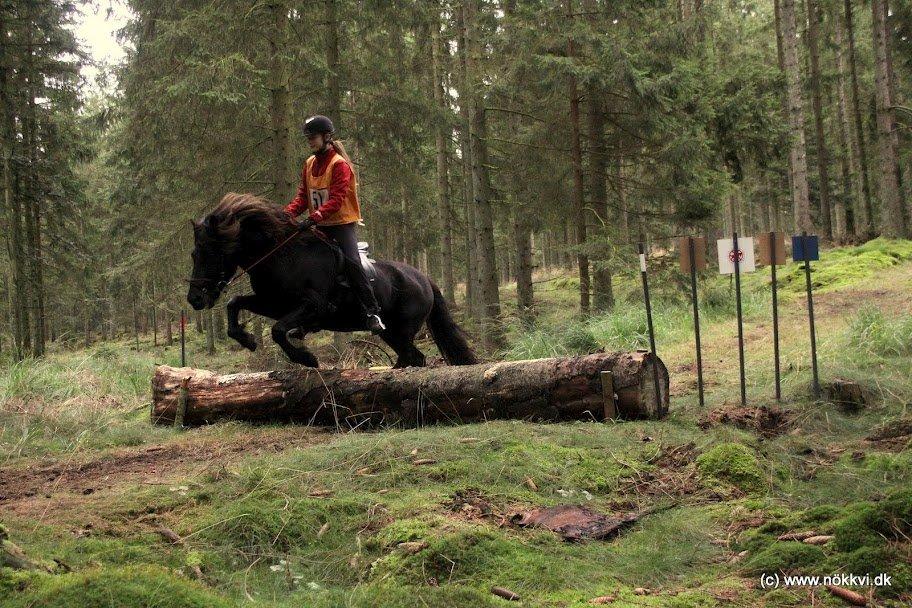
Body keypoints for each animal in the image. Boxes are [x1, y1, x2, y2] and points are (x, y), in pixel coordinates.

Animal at [189, 192, 480, 368]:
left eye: (210, 254)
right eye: (194, 254)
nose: (194, 299)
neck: (282, 257)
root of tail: (425, 279)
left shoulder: (314, 306)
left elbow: (278, 330)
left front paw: (306, 358)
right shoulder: (273, 303)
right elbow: (235, 303)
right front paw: (247, 340)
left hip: (401, 329)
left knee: (413, 356)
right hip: (393, 332)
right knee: (411, 357)